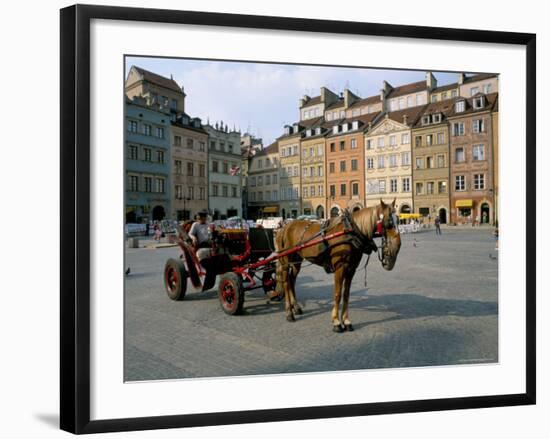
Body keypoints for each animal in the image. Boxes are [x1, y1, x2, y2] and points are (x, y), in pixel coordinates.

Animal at [274, 201, 402, 332]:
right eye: (389, 222)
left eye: (398, 220)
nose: (398, 245)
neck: (351, 232)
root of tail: (284, 227)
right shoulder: (340, 268)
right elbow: (337, 294)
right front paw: (336, 321)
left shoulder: (351, 269)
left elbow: (346, 295)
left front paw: (346, 321)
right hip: (286, 262)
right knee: (286, 283)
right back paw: (289, 313)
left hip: (296, 262)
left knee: (292, 281)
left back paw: (296, 307)